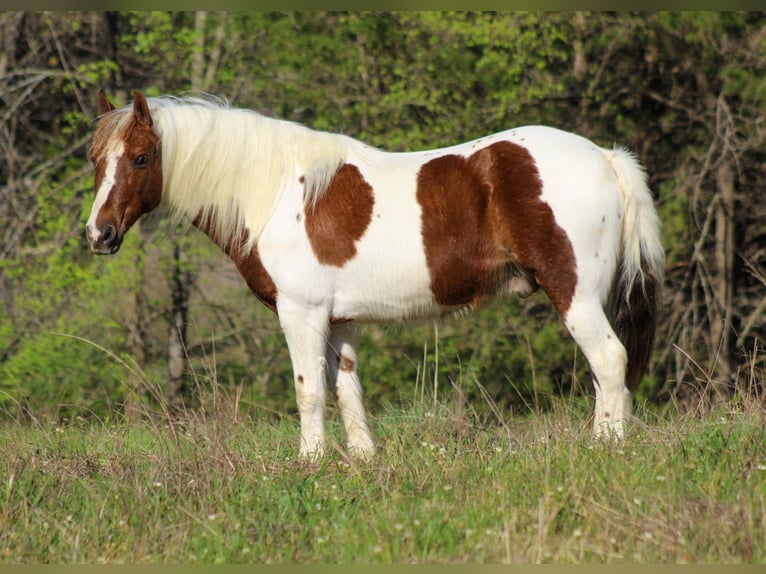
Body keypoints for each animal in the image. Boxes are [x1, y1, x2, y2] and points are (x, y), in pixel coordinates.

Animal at [86, 90, 664, 460]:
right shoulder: (339, 321)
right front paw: (362, 462)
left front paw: (310, 464)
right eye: (96, 160)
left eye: (141, 158)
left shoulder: (301, 313)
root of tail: (605, 157)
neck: (276, 192)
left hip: (574, 294)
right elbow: (347, 390)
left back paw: (605, 449)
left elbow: (308, 390)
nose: (99, 233)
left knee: (609, 360)